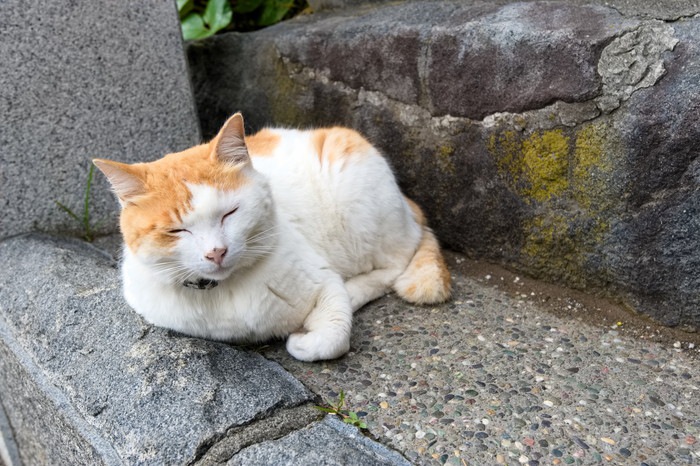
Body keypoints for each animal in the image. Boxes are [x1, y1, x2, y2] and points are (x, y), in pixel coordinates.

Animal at [93, 113, 452, 360]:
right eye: (177, 230)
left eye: (230, 213)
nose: (216, 252)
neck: (226, 290)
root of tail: (408, 203)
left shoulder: (323, 279)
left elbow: (333, 339)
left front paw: (308, 337)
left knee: (396, 262)